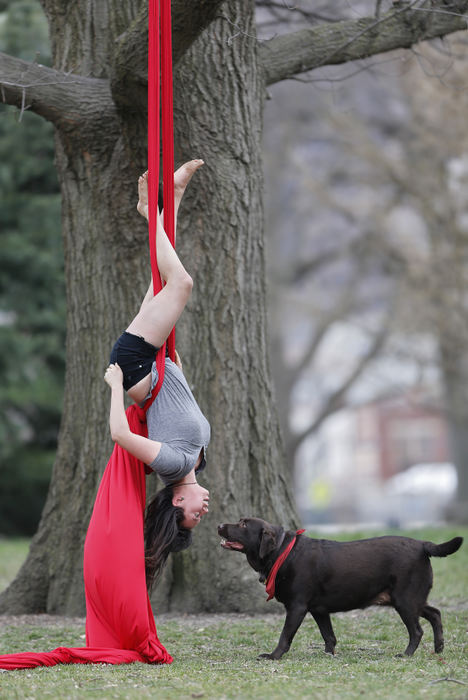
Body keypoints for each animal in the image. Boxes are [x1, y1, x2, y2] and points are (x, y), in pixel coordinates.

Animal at [218, 516, 462, 660]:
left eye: (243, 524)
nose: (219, 525)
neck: (281, 551)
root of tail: (422, 544)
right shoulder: (319, 610)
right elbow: (329, 636)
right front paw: (329, 655)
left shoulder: (297, 607)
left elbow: (285, 635)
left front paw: (273, 655)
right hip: (410, 599)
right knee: (435, 613)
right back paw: (439, 647)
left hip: (405, 601)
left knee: (417, 630)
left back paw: (407, 654)